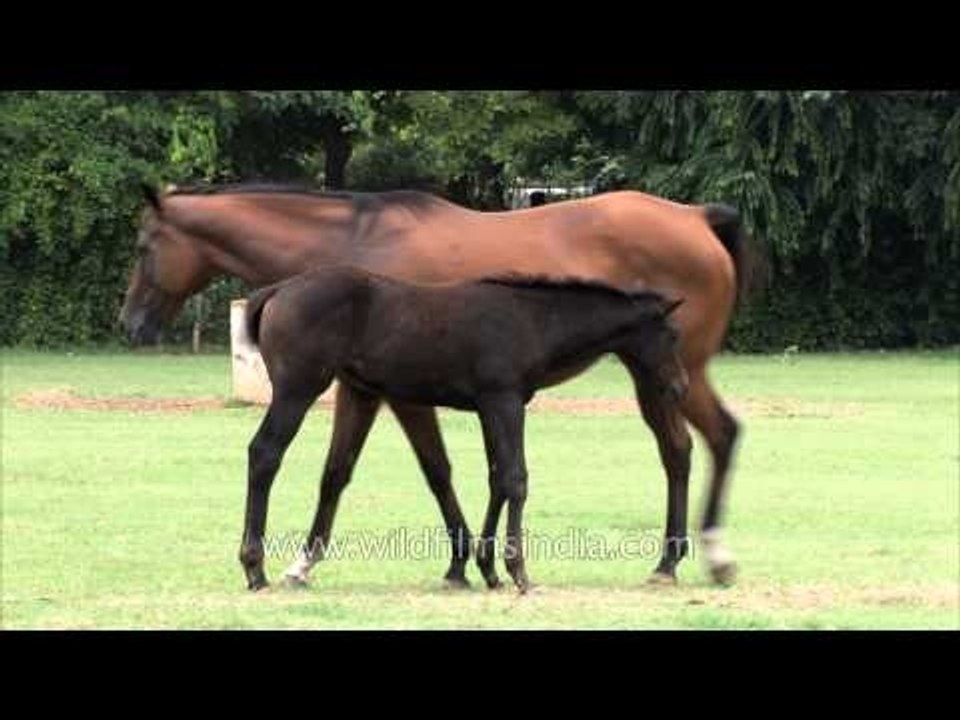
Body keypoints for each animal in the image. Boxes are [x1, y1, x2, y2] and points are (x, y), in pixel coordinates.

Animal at [240, 265, 688, 592]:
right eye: (671, 336)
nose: (681, 388)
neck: (532, 319)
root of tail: (277, 290)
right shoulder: (505, 401)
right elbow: (516, 479)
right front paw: (518, 571)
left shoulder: (491, 408)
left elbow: (497, 480)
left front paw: (488, 569)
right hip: (298, 390)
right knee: (265, 452)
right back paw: (254, 567)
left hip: (352, 392)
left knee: (330, 469)